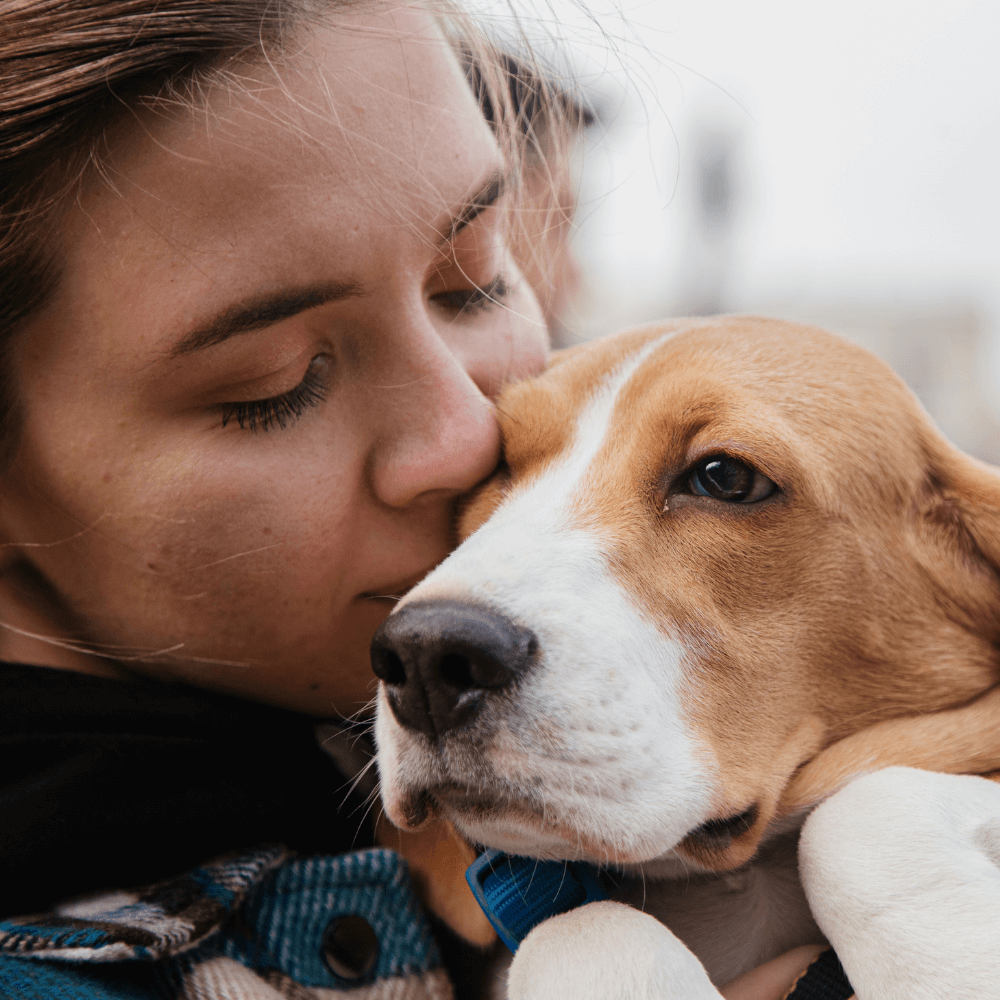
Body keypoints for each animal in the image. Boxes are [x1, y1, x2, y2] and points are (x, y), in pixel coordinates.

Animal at [372, 322, 1000, 1000]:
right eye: (500, 466)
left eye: (724, 478)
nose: (426, 656)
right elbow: (579, 927)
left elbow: (856, 813)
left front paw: (951, 967)